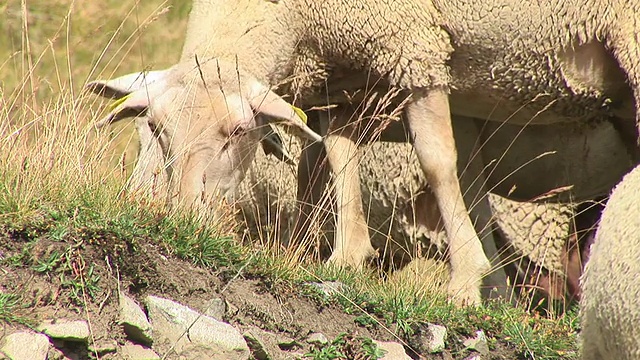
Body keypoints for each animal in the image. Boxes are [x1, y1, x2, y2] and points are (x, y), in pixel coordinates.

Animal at [86, 0, 640, 306]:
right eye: (156, 128)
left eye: (239, 130)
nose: (183, 214)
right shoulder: (345, 76)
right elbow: (339, 158)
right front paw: (346, 258)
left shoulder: (413, 45)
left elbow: (439, 163)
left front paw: (465, 283)